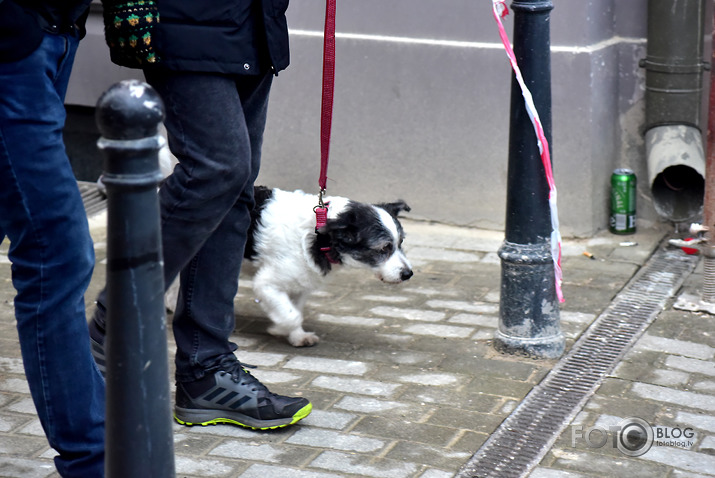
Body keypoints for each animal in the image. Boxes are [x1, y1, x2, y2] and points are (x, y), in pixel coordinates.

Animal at [167, 187, 414, 348]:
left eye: (401, 243)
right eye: (383, 248)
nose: (408, 274)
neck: (320, 236)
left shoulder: (301, 282)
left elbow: (296, 310)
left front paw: (296, 336)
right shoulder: (266, 283)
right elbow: (290, 314)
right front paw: (279, 327)